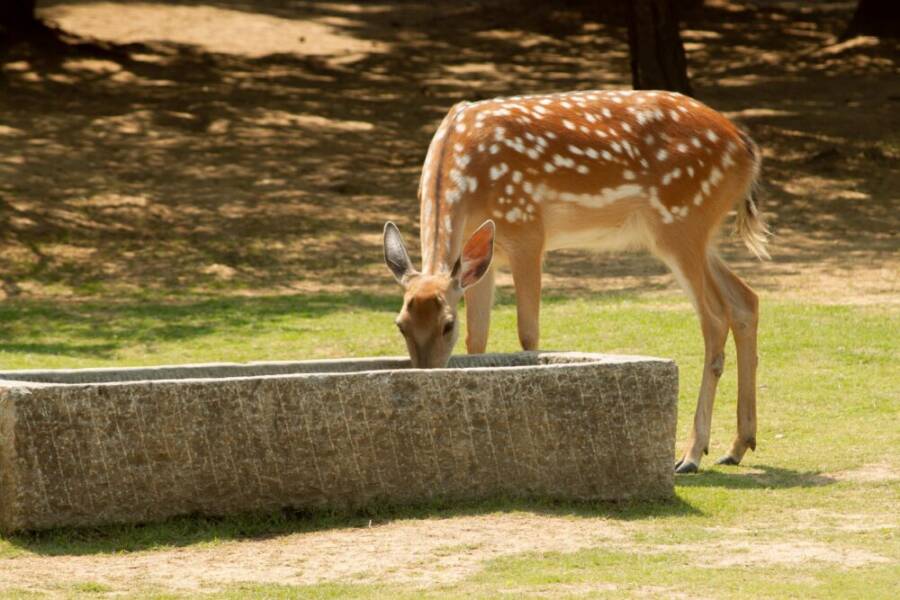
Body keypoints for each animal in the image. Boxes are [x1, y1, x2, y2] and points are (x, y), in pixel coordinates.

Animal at [382, 89, 769, 473]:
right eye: (400, 324)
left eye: (447, 324)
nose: (426, 376)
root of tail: (746, 148)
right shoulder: (482, 262)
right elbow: (477, 339)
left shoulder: (527, 230)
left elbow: (528, 334)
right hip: (694, 232)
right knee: (745, 300)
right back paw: (738, 445)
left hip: (681, 220)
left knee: (715, 319)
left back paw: (691, 455)